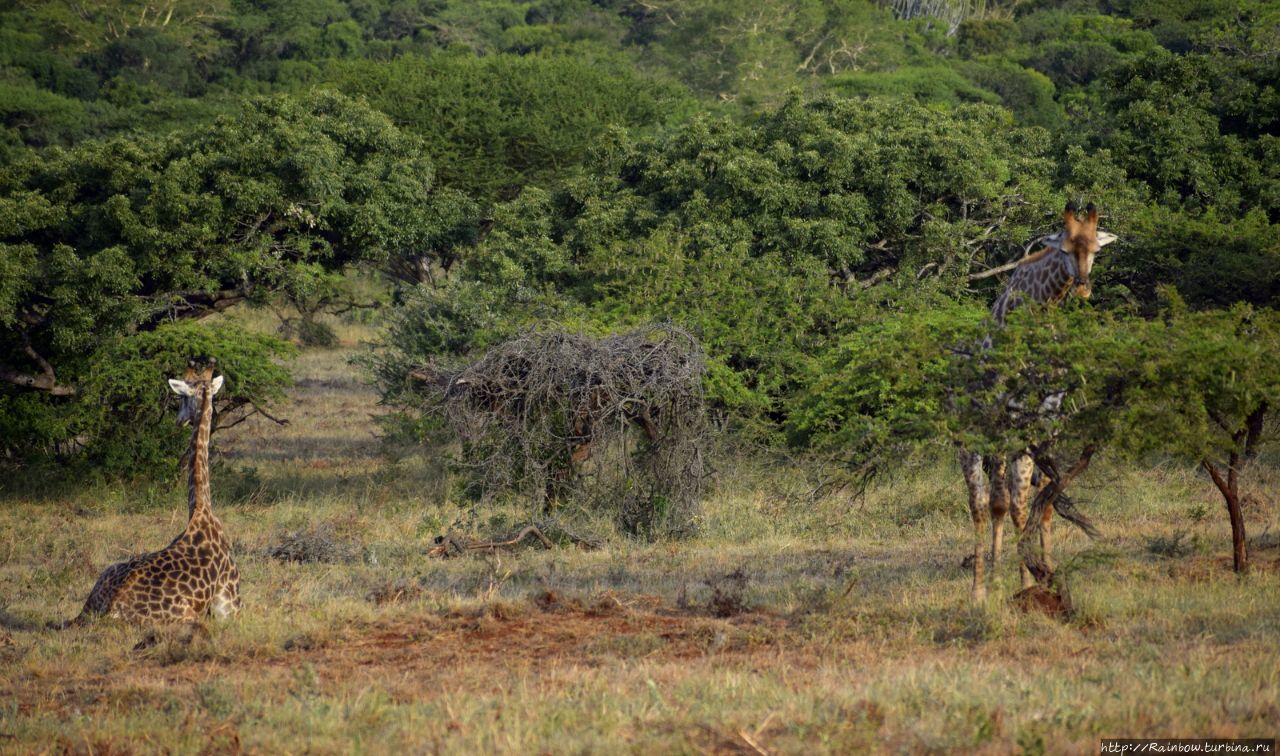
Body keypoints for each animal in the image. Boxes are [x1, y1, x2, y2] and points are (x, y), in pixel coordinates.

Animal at [66, 360, 240, 626]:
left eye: (181, 397)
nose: (179, 420)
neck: (202, 506)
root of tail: (112, 608)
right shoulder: (230, 608)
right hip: (188, 616)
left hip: (100, 583)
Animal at [957, 202, 1116, 603]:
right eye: (1065, 248)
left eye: (1096, 249)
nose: (1083, 288)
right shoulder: (1009, 422)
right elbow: (1011, 505)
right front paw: (1019, 582)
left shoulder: (1044, 423)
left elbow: (1035, 503)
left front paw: (1038, 577)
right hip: (975, 437)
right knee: (983, 505)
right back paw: (980, 588)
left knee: (1012, 501)